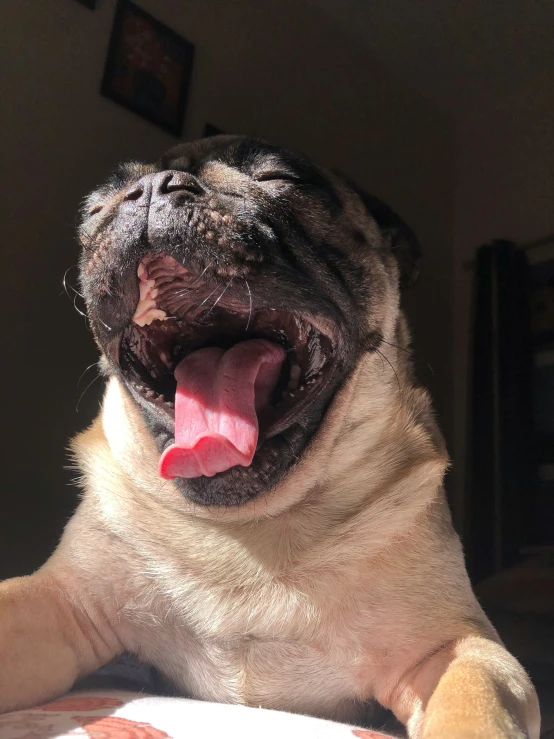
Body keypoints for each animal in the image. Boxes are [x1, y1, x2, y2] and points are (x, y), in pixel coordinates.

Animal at [0, 137, 536, 736]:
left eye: (281, 179)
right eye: (95, 209)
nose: (152, 186)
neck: (247, 531)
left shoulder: (455, 650)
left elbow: (471, 707)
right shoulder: (57, 605)